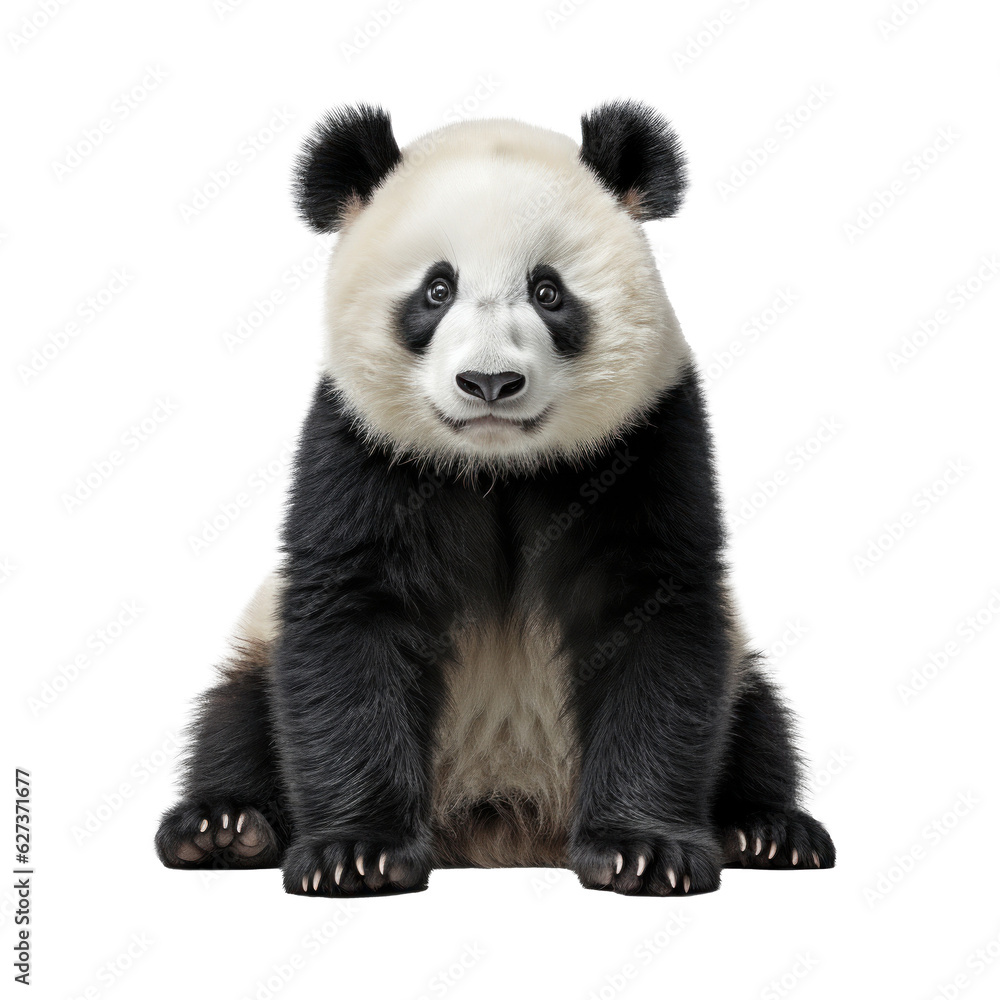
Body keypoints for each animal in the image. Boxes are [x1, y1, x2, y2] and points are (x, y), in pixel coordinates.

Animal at [155, 101, 835, 896]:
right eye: (436, 290)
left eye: (548, 291)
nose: (489, 382)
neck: (497, 467)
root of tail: (503, 832)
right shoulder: (360, 452)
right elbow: (350, 624)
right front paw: (356, 854)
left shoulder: (647, 441)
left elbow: (654, 620)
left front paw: (645, 851)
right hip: (258, 649)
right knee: (234, 713)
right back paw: (223, 828)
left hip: (739, 669)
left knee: (759, 718)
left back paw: (767, 831)